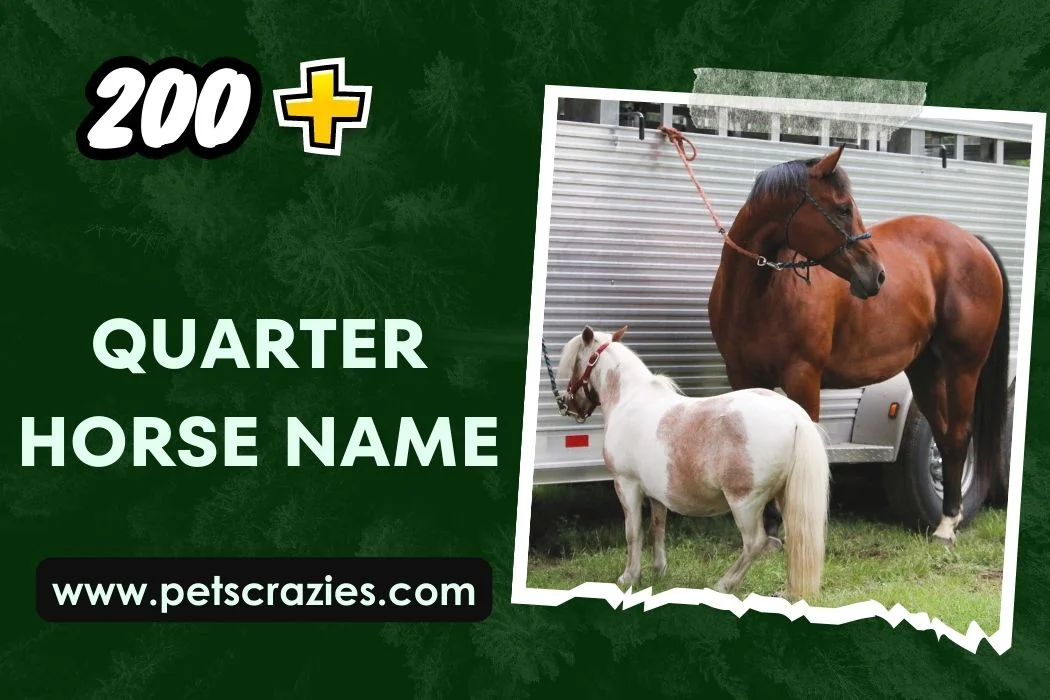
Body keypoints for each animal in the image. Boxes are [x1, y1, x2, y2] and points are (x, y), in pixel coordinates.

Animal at [556, 325, 831, 600]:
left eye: (576, 363)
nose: (567, 403)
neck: (629, 400)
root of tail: (794, 416)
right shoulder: (656, 494)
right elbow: (658, 528)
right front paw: (659, 570)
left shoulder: (626, 484)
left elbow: (633, 532)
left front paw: (629, 577)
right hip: (784, 496)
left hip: (745, 502)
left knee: (755, 543)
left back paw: (723, 585)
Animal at [706, 144, 1010, 547]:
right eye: (842, 208)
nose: (877, 275)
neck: (761, 295)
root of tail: (973, 241)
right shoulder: (743, 377)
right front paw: (768, 531)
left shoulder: (804, 378)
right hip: (925, 370)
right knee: (945, 437)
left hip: (964, 368)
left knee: (960, 435)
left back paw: (947, 525)